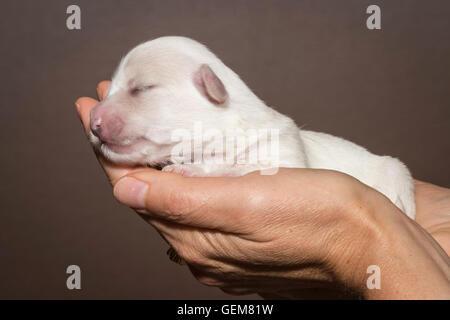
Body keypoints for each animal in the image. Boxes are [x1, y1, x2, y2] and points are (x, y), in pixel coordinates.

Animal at [90, 35, 414, 220]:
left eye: (141, 88)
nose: (93, 122)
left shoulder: (282, 155)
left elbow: (235, 165)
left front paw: (192, 169)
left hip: (395, 177)